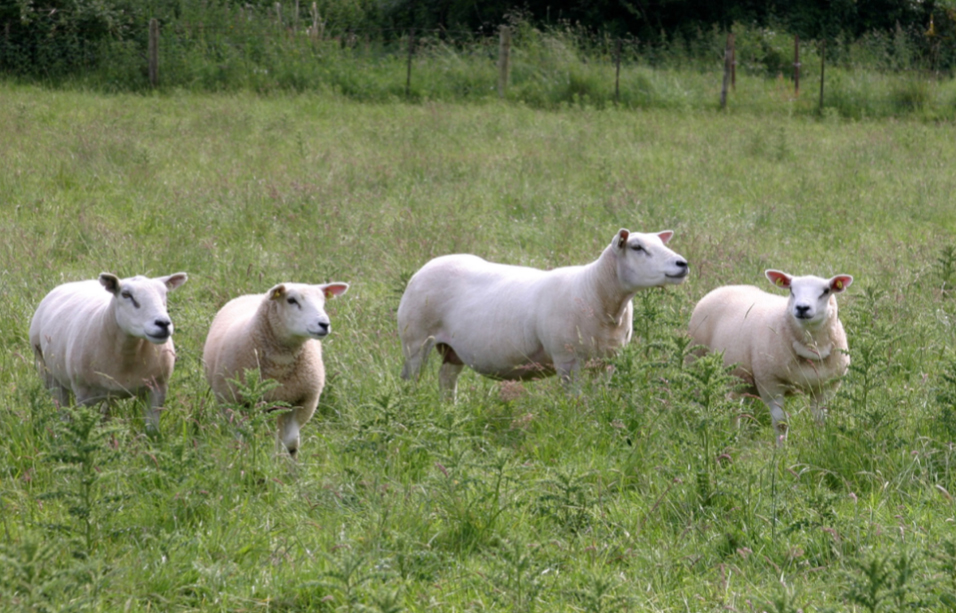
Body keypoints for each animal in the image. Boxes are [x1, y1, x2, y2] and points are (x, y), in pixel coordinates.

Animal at [29, 272, 190, 430]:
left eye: (165, 294)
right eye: (126, 295)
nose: (163, 323)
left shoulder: (157, 390)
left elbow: (152, 430)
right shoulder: (83, 396)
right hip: (47, 372)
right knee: (62, 408)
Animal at [202, 280, 348, 454]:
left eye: (323, 301)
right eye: (291, 300)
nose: (324, 324)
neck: (280, 363)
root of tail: (256, 294)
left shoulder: (303, 402)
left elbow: (290, 444)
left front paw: (282, 462)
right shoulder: (233, 402)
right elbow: (242, 439)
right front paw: (243, 459)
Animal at [396, 228, 688, 396]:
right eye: (637, 247)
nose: (682, 263)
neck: (595, 290)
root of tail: (427, 266)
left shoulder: (608, 361)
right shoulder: (568, 361)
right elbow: (577, 400)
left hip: (453, 350)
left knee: (446, 379)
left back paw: (448, 410)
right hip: (415, 340)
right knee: (410, 381)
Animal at [684, 270, 856, 442]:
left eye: (826, 291)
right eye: (791, 289)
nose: (802, 308)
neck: (810, 348)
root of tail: (726, 287)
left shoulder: (826, 387)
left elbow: (819, 421)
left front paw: (819, 443)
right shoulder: (770, 384)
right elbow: (781, 424)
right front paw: (782, 449)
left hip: (739, 375)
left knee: (734, 405)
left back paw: (734, 438)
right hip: (696, 360)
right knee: (696, 401)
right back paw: (697, 430)